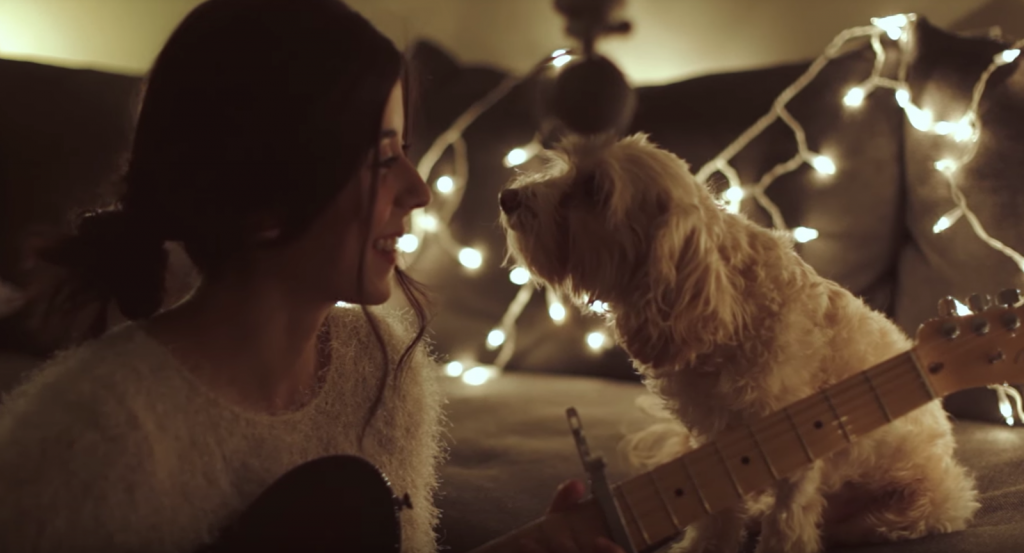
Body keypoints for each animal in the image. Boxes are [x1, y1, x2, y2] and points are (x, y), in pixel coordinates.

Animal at [499, 134, 978, 553]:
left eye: (594, 190)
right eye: (566, 168)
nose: (507, 197)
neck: (730, 301)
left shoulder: (792, 445)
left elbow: (787, 522)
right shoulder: (716, 441)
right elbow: (716, 514)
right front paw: (704, 546)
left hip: (913, 507)